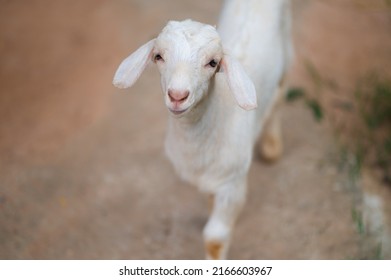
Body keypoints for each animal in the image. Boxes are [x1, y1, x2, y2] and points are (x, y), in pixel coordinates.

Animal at [112, 0, 290, 258]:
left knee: (281, 91)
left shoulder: (233, 184)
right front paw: (208, 203)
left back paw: (272, 145)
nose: (177, 96)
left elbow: (215, 238)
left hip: (287, 45)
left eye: (213, 63)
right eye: (158, 56)